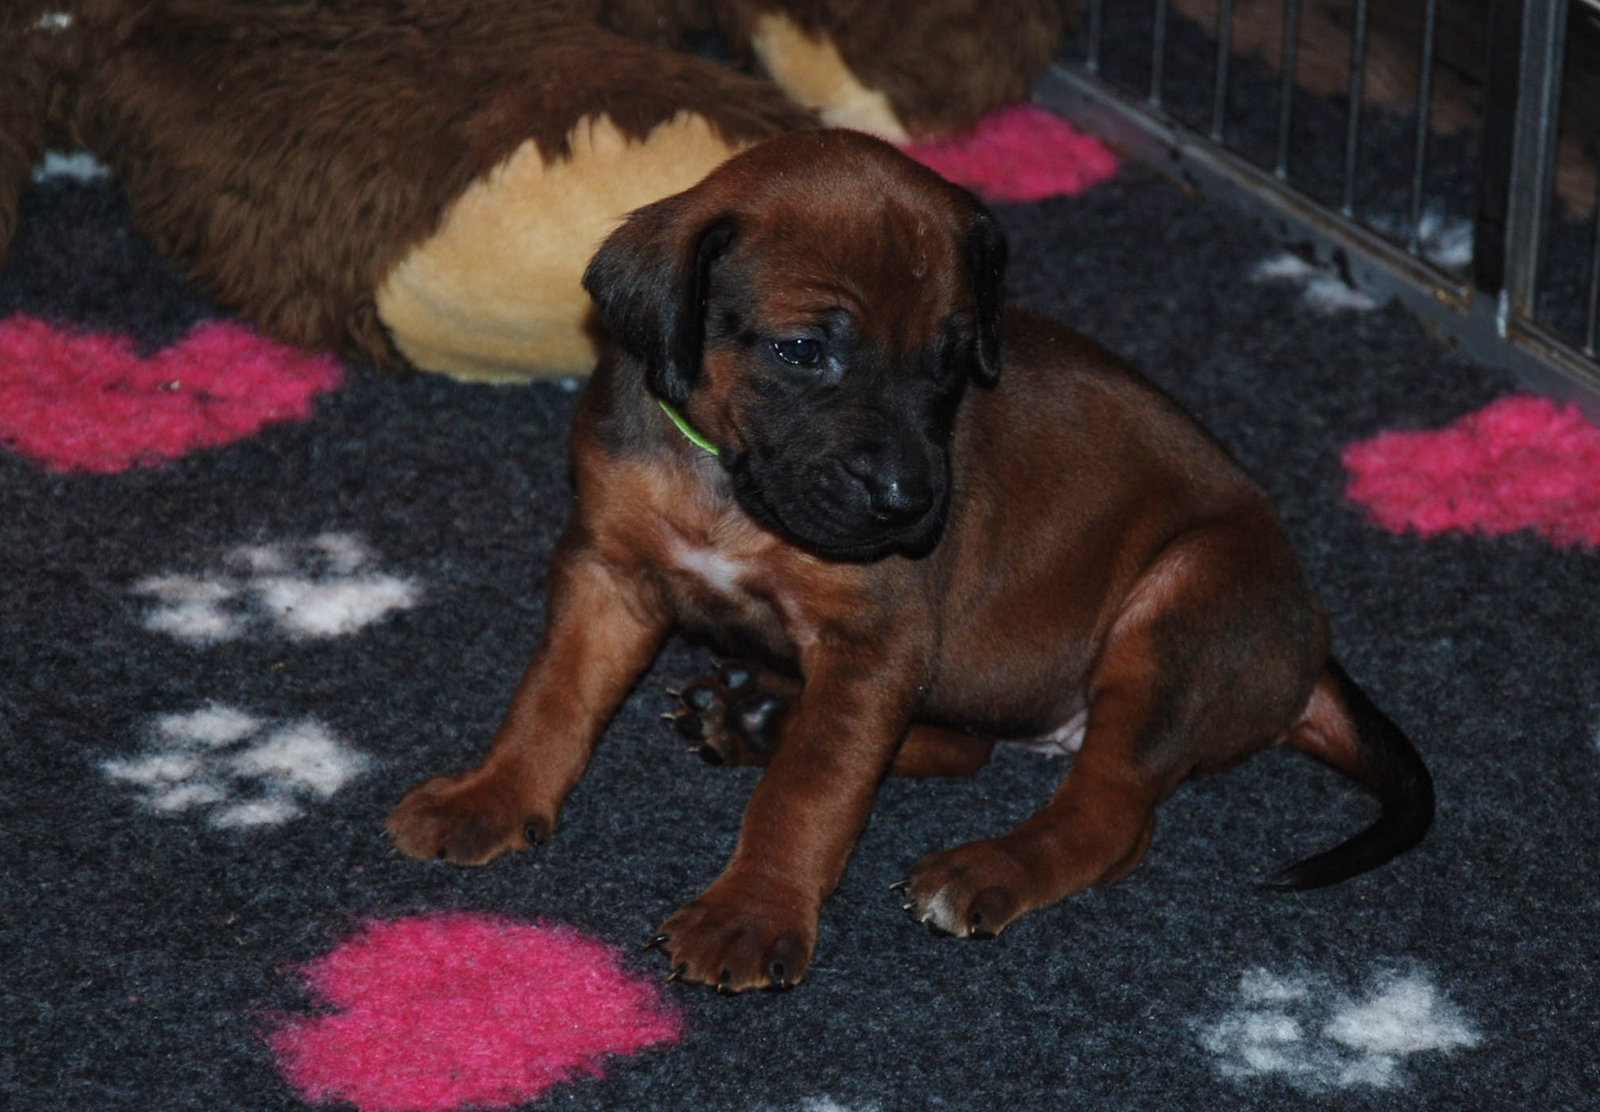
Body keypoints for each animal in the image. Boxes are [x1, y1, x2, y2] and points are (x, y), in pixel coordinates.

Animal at [386, 129, 1434, 993]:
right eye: (802, 350)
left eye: (951, 358)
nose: (908, 503)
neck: (727, 485)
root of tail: (1310, 650)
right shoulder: (609, 573)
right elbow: (553, 697)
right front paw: (493, 794)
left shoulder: (872, 643)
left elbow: (811, 790)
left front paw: (749, 913)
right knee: (971, 748)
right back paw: (757, 717)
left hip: (1181, 604)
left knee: (1110, 818)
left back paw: (984, 863)